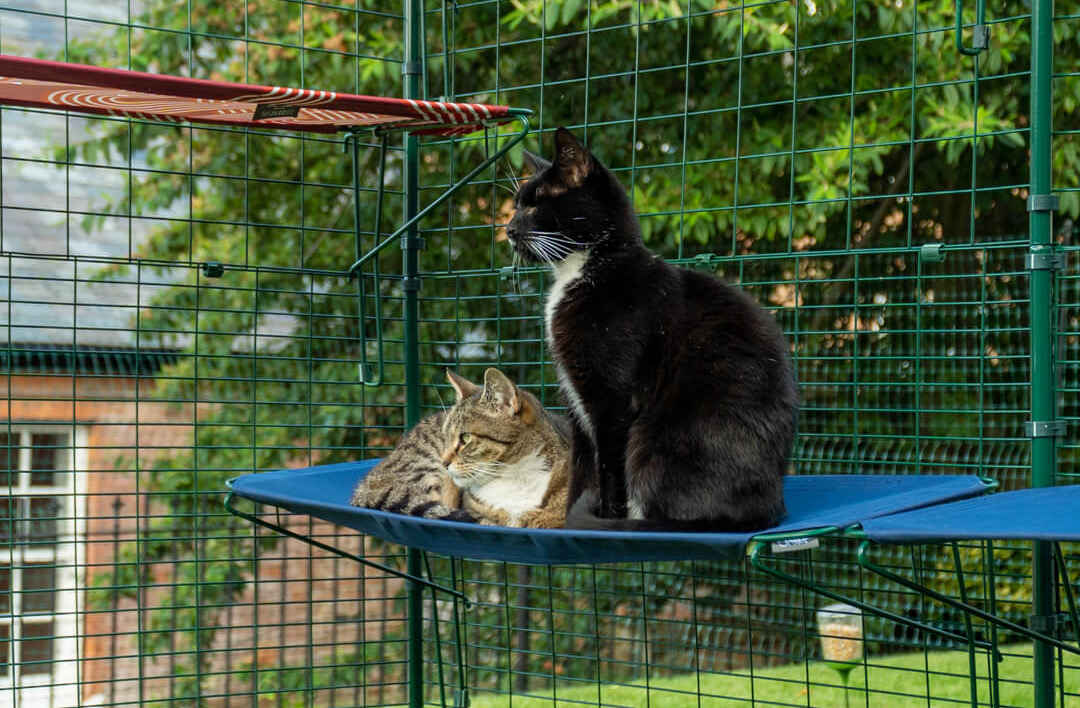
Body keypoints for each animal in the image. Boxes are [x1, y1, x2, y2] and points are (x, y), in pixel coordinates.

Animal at [501, 127, 799, 531]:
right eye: (516, 205)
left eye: (537, 205)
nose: (508, 228)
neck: (590, 266)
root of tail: (766, 509)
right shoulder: (575, 396)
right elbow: (582, 466)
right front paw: (569, 518)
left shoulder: (612, 398)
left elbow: (609, 469)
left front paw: (602, 518)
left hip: (656, 445)